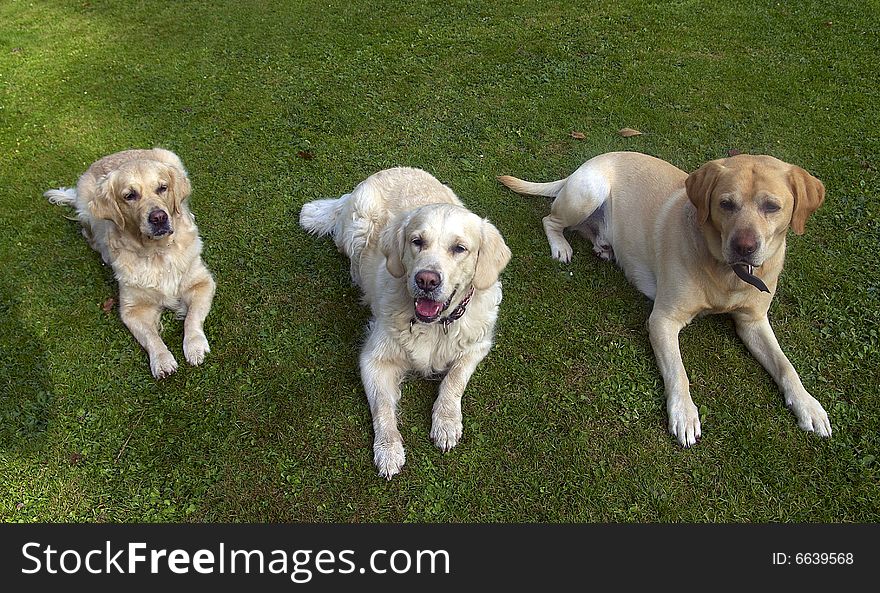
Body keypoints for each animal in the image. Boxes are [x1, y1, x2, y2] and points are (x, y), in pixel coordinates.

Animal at [45, 148, 216, 380]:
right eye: (130, 196)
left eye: (162, 188)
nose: (159, 217)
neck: (157, 252)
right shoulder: (132, 309)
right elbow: (151, 337)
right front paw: (162, 361)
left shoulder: (202, 282)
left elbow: (193, 318)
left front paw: (195, 346)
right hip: (86, 205)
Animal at [300, 165, 512, 476]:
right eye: (417, 242)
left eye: (459, 248)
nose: (426, 280)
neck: (435, 325)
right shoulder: (374, 359)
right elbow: (383, 408)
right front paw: (388, 450)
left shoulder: (478, 345)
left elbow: (455, 380)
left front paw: (447, 422)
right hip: (359, 225)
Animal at [498, 151, 828, 444]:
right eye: (726, 204)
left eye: (772, 206)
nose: (744, 247)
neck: (728, 275)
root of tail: (588, 162)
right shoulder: (663, 320)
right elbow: (678, 371)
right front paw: (684, 414)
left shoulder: (753, 322)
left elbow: (786, 365)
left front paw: (808, 405)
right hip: (589, 192)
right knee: (550, 220)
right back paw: (561, 246)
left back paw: (603, 246)